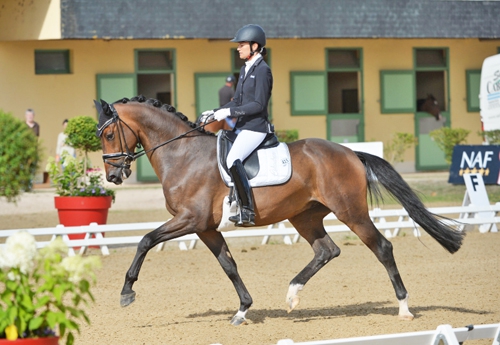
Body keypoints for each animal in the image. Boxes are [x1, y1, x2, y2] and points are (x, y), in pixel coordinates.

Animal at [95, 94, 462, 326]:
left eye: (110, 133)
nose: (113, 176)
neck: (182, 154)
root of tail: (349, 152)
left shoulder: (189, 219)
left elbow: (145, 240)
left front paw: (127, 292)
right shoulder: (205, 227)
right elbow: (228, 265)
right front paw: (243, 310)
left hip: (351, 212)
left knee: (382, 247)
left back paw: (403, 308)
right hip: (304, 216)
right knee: (327, 250)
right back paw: (292, 295)